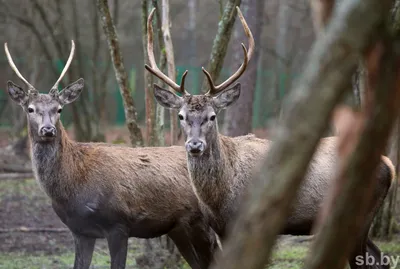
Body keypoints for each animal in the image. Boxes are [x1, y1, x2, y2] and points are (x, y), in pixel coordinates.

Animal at [4, 40, 219, 268]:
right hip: (179, 228)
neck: (74, 184)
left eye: (59, 109)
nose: (47, 130)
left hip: (201, 222)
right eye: (30, 109)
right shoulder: (80, 231)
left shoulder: (118, 223)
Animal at [145, 6, 396, 268]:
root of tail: (389, 165)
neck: (220, 196)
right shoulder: (222, 229)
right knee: (380, 258)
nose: (195, 145)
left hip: (359, 216)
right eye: (181, 116)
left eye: (212, 116)